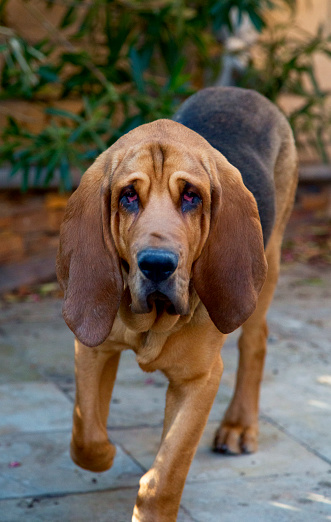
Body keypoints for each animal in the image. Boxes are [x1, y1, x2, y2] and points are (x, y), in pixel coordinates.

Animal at [56, 87, 298, 516]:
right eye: (128, 196)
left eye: (191, 196)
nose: (157, 264)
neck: (152, 322)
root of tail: (243, 91)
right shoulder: (93, 348)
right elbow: (85, 434)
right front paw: (106, 454)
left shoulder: (199, 380)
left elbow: (164, 477)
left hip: (267, 266)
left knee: (256, 340)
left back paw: (239, 426)